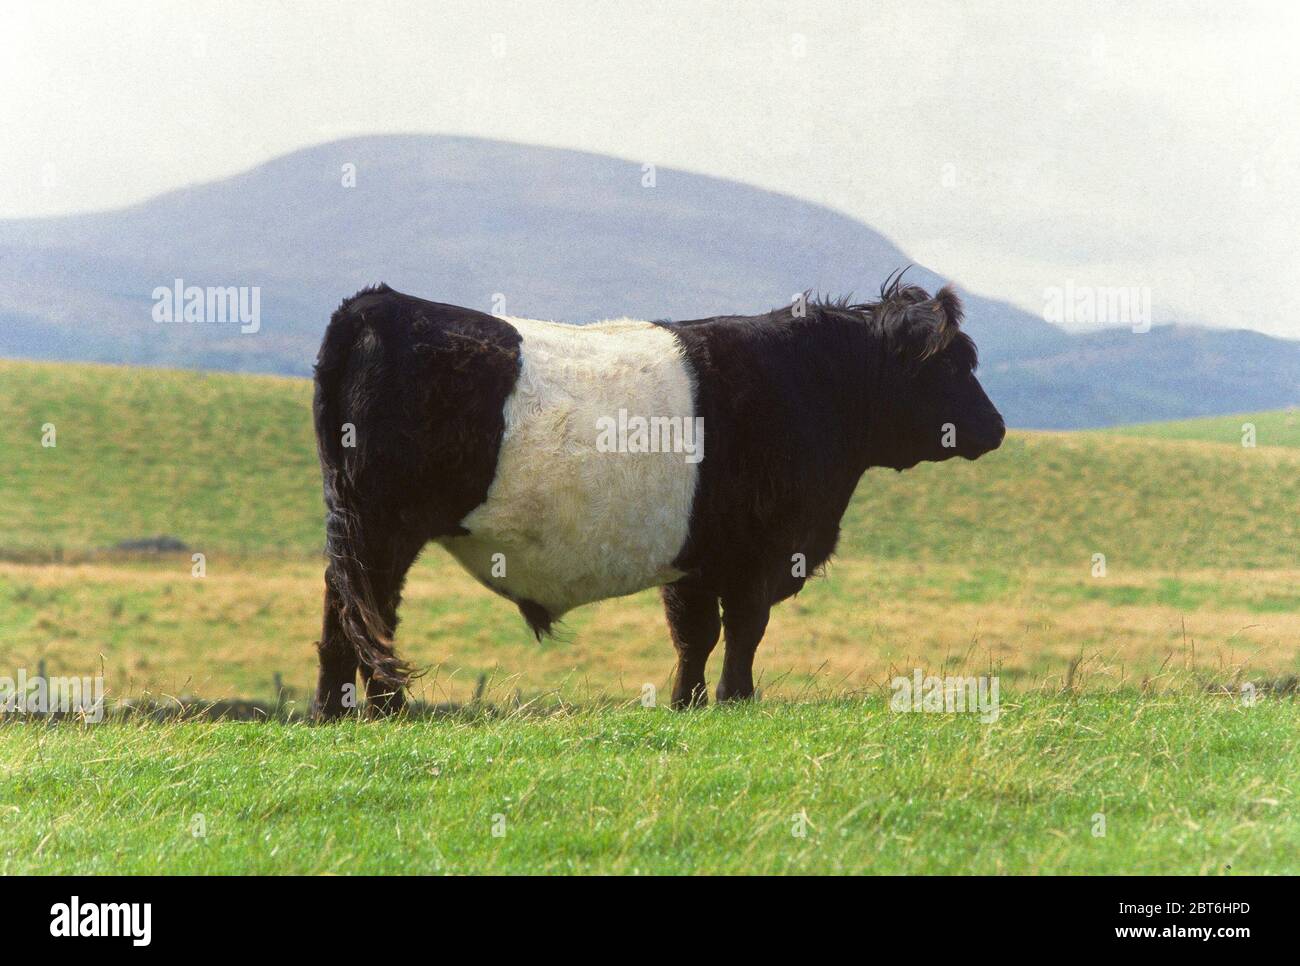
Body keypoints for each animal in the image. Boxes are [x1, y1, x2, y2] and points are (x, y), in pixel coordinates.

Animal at [310, 273, 1005, 719]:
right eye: (951, 365)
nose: (996, 428)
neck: (812, 382)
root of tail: (375, 305)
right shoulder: (761, 551)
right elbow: (744, 628)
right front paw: (734, 700)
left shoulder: (696, 559)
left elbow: (695, 635)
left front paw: (685, 704)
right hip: (383, 524)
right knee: (370, 609)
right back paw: (389, 709)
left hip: (359, 523)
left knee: (345, 608)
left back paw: (333, 711)